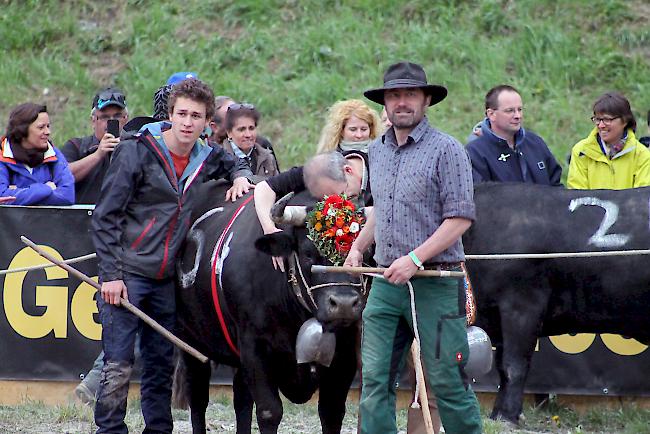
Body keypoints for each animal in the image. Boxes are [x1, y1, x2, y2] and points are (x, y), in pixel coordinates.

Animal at [171, 180, 364, 434]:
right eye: (308, 253)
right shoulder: (255, 347)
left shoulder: (346, 355)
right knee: (198, 397)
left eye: (364, 253)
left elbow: (331, 413)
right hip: (190, 342)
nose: (343, 304)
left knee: (241, 399)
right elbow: (269, 411)